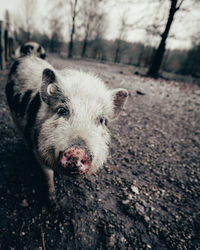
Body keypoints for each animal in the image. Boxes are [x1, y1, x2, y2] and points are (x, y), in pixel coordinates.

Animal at [5, 54, 128, 203]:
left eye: (101, 120)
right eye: (62, 110)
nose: (77, 151)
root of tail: (26, 56)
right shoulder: (38, 148)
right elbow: (48, 174)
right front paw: (51, 200)